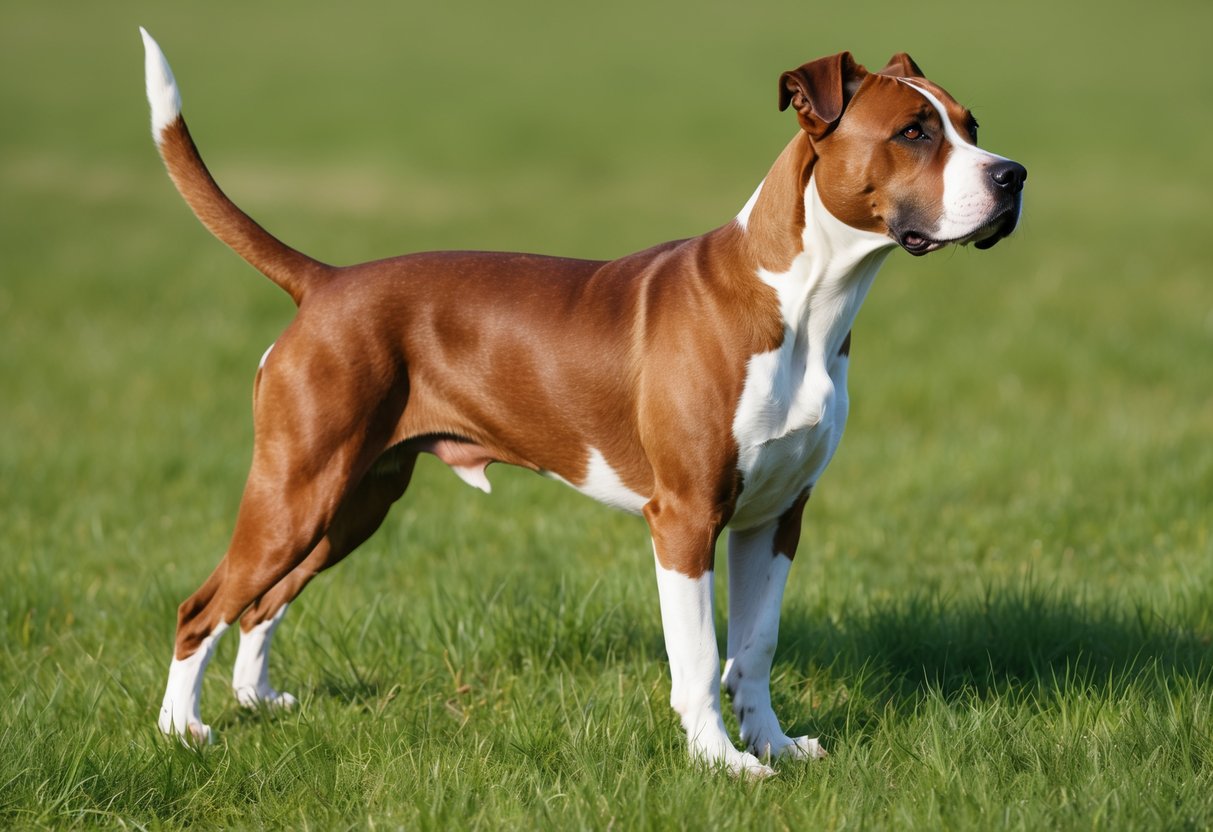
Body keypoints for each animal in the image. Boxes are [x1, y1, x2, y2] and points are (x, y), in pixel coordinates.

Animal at [146, 29, 1028, 781]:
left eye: (970, 124)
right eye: (912, 132)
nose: (1013, 175)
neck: (805, 300)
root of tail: (325, 282)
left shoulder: (776, 516)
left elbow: (755, 646)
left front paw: (774, 745)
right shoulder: (685, 519)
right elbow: (698, 658)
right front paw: (720, 763)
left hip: (353, 500)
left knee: (262, 602)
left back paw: (257, 699)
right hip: (296, 490)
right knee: (203, 606)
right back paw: (181, 730)